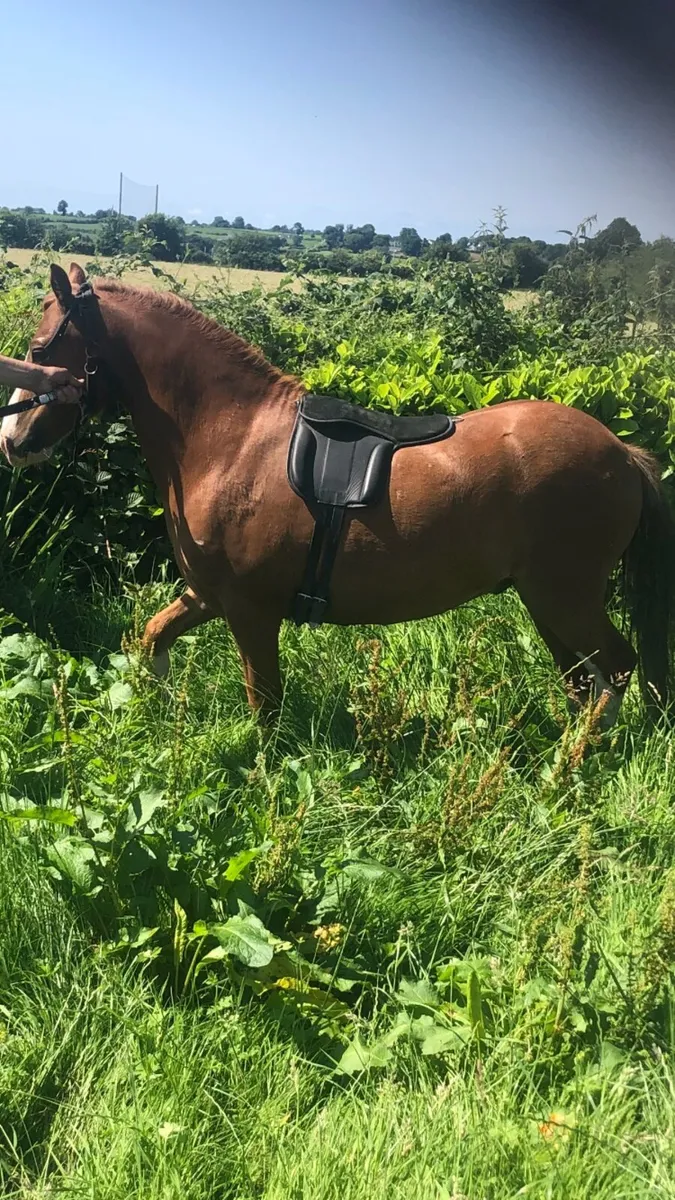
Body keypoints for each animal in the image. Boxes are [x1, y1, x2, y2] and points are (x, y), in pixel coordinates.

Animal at [1, 262, 673, 726]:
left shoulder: (249, 610)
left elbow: (265, 709)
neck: (231, 438)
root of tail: (623, 454)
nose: (10, 441)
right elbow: (153, 636)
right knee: (584, 681)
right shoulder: (208, 595)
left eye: (37, 351)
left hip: (565, 597)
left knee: (616, 668)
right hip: (545, 601)